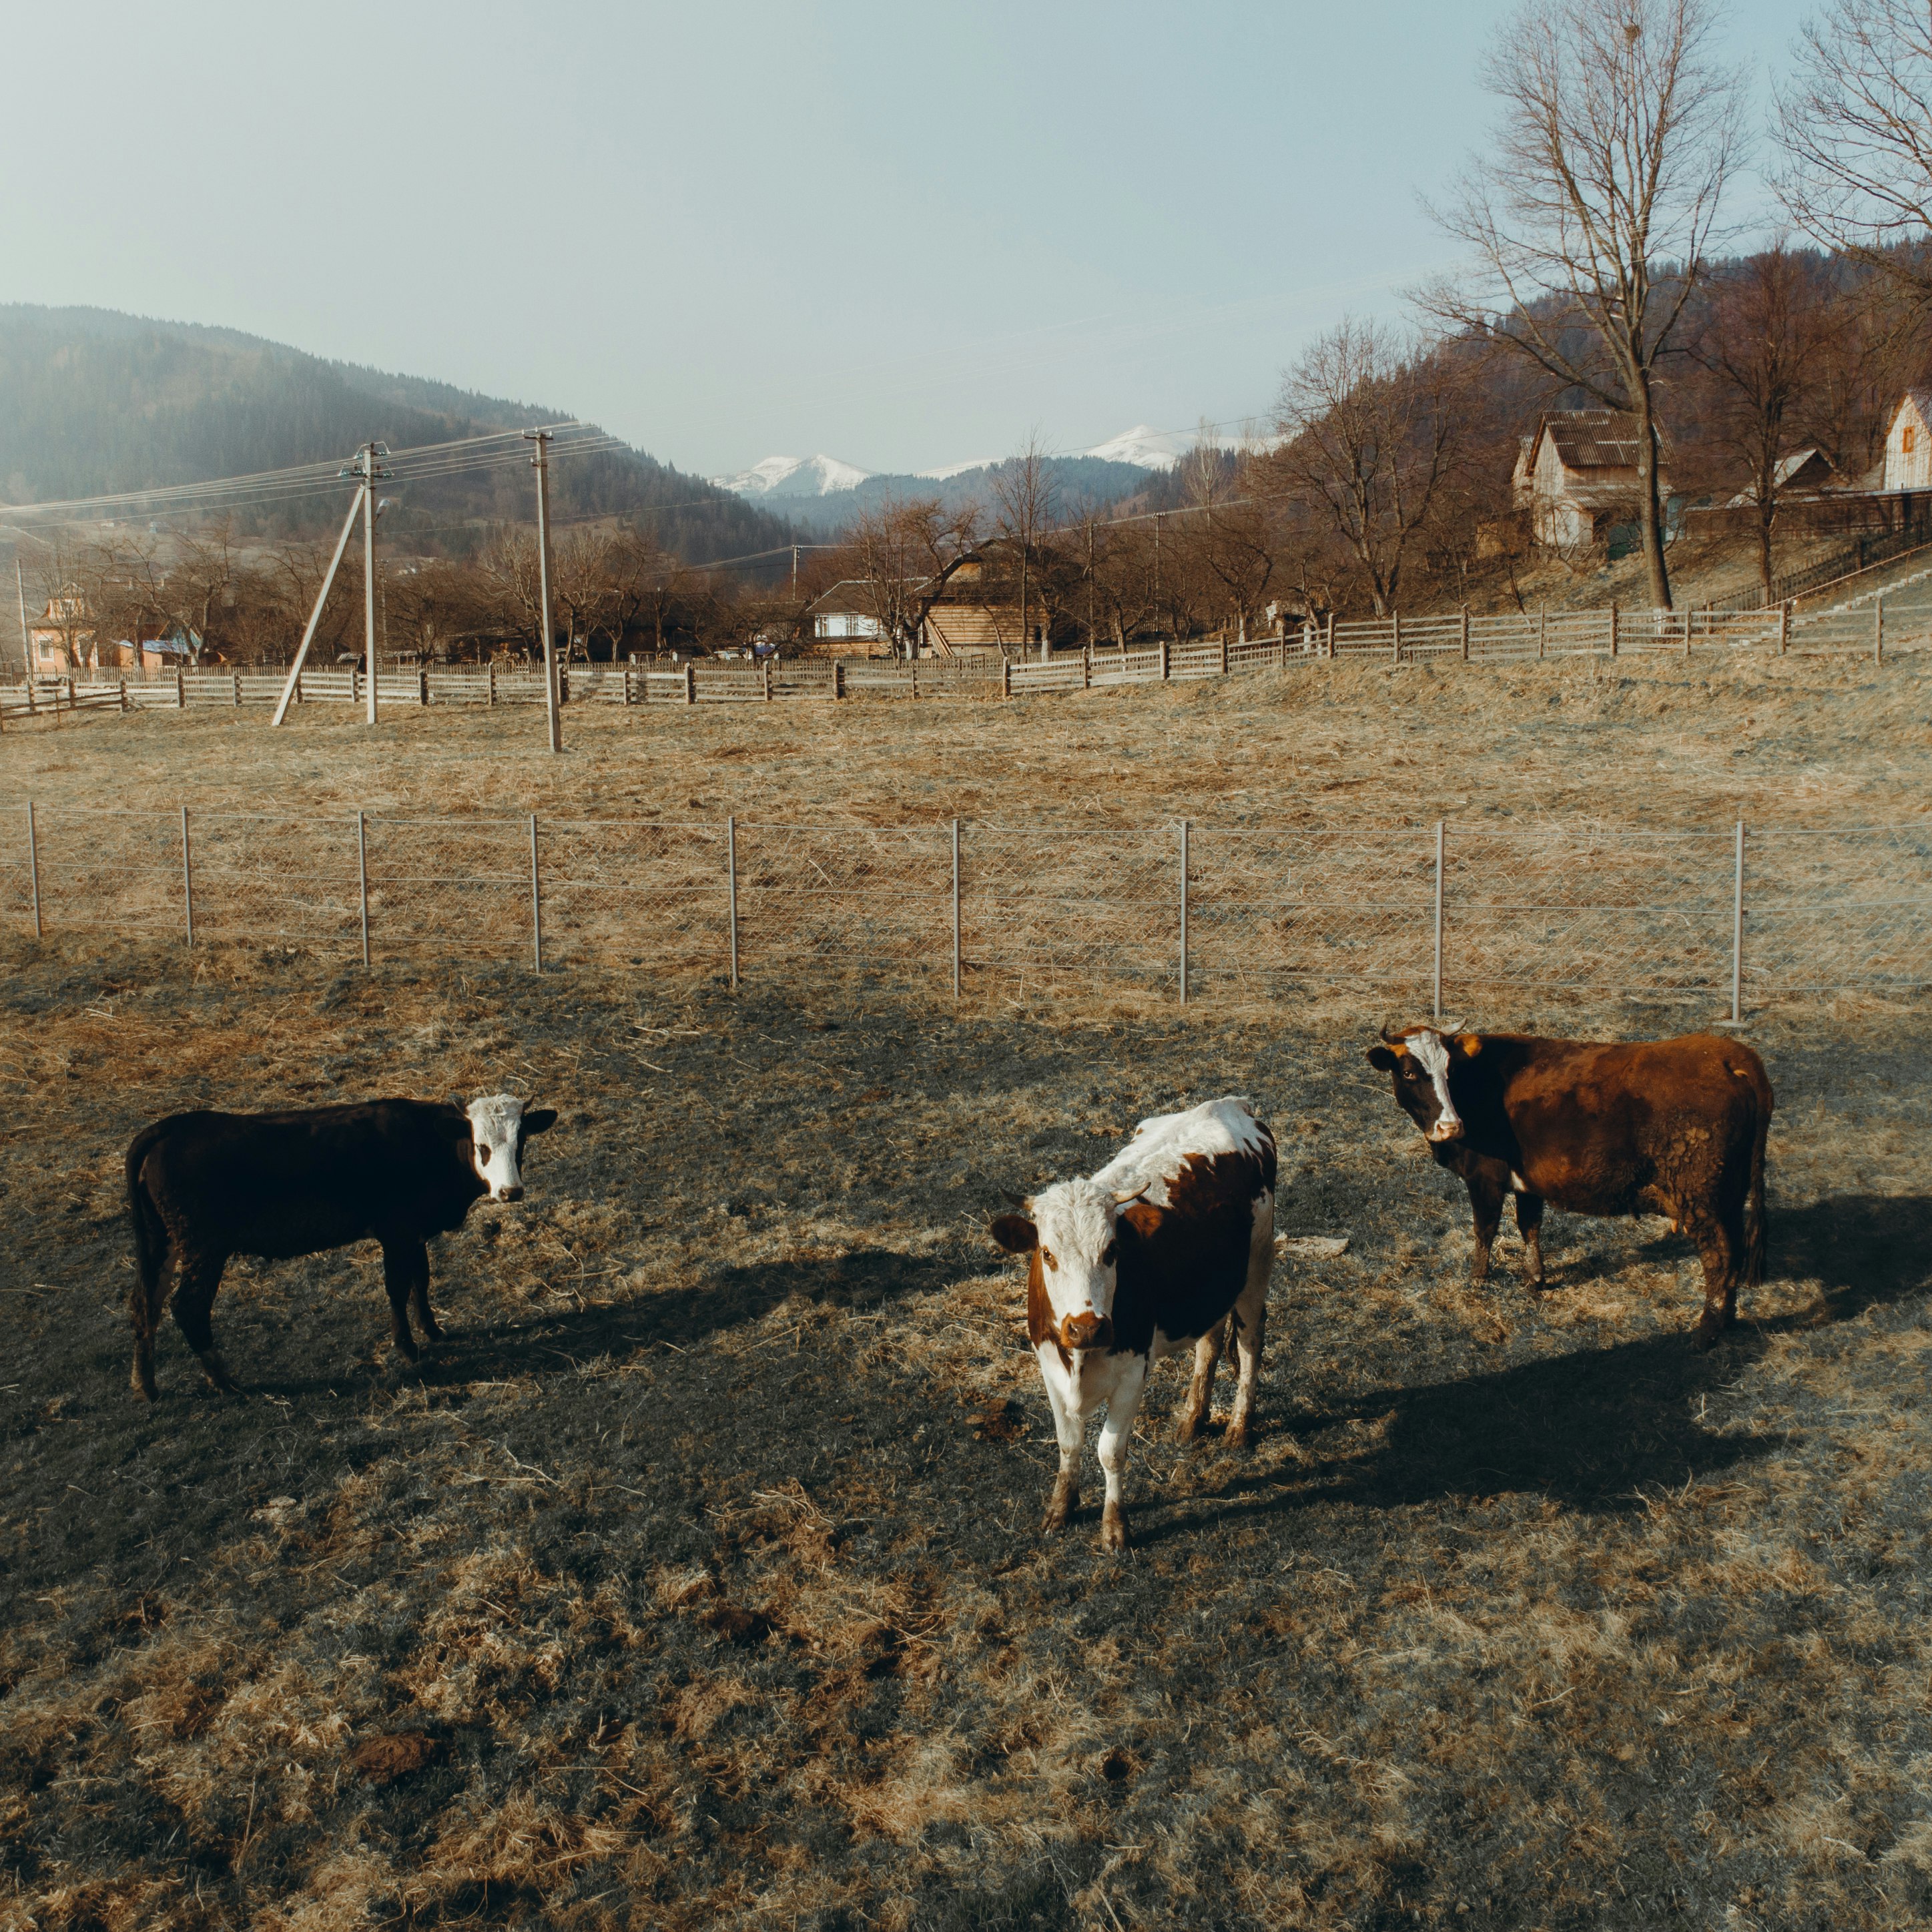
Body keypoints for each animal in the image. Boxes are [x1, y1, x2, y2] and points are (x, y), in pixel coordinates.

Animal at [125, 1097, 556, 1398]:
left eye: (520, 1142)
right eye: (481, 1145)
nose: (511, 1192)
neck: (429, 1146)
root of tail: (168, 1129)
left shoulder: (413, 1233)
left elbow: (422, 1279)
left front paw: (433, 1330)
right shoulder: (396, 1233)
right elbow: (398, 1287)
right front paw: (407, 1348)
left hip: (162, 1243)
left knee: (146, 1303)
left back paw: (145, 1385)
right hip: (205, 1249)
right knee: (188, 1307)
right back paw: (226, 1383)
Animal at [989, 1104, 1275, 1553]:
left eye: (1112, 1251)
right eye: (1047, 1253)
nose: (1086, 1328)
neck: (1081, 1359)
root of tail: (1230, 1104)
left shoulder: (1132, 1376)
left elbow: (1110, 1452)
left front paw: (1115, 1527)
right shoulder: (1049, 1367)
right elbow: (1068, 1444)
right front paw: (1060, 1509)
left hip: (1256, 1269)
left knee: (1249, 1343)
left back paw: (1238, 1429)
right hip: (1209, 1291)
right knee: (1209, 1342)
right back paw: (1191, 1420)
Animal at [1367, 1028, 1769, 1344]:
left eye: (1450, 1073)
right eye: (1409, 1072)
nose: (1451, 1126)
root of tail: (1729, 1056)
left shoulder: (1484, 1179)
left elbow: (1485, 1229)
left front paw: (1478, 1278)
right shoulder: (1527, 1185)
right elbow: (1529, 1227)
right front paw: (1536, 1279)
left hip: (1699, 1199)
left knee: (1720, 1256)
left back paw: (1707, 1330)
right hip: (1727, 1197)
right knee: (1734, 1250)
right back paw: (1727, 1319)